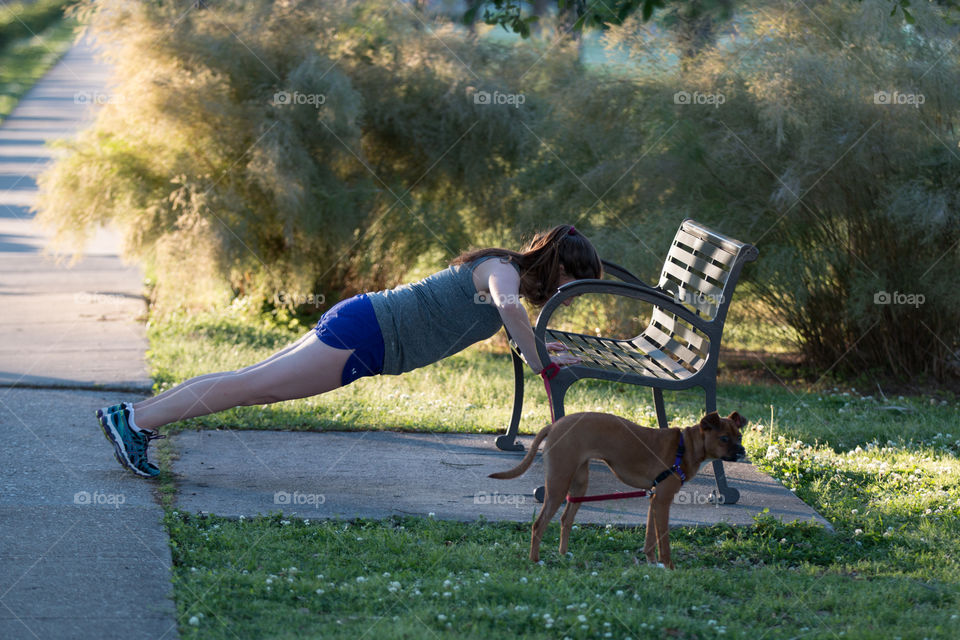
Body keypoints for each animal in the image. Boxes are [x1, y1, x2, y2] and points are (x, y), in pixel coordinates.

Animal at [492, 410, 748, 564]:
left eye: (740, 437)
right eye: (724, 438)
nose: (743, 451)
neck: (685, 447)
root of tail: (554, 426)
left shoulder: (654, 500)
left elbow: (650, 538)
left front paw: (652, 564)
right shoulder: (663, 500)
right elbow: (663, 542)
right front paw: (669, 568)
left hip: (579, 484)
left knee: (566, 519)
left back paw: (564, 555)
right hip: (558, 484)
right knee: (539, 524)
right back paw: (535, 561)